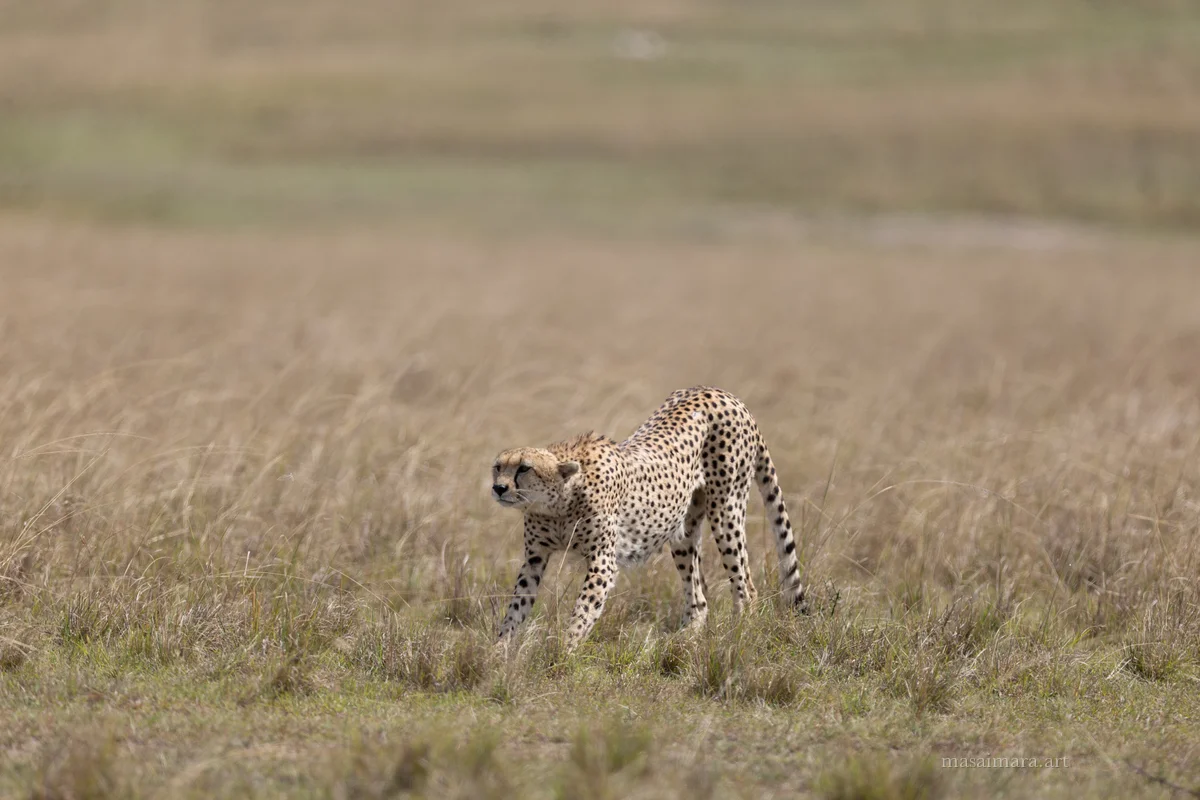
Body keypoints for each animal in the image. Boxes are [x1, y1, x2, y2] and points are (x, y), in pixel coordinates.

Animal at [490, 386, 806, 650]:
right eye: (498, 467)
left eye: (524, 468)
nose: (498, 488)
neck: (557, 504)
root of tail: (722, 392)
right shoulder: (535, 557)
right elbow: (517, 605)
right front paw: (499, 651)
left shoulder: (602, 561)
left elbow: (583, 609)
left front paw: (564, 649)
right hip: (683, 530)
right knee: (699, 597)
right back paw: (685, 638)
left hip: (726, 511)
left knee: (746, 587)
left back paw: (737, 637)